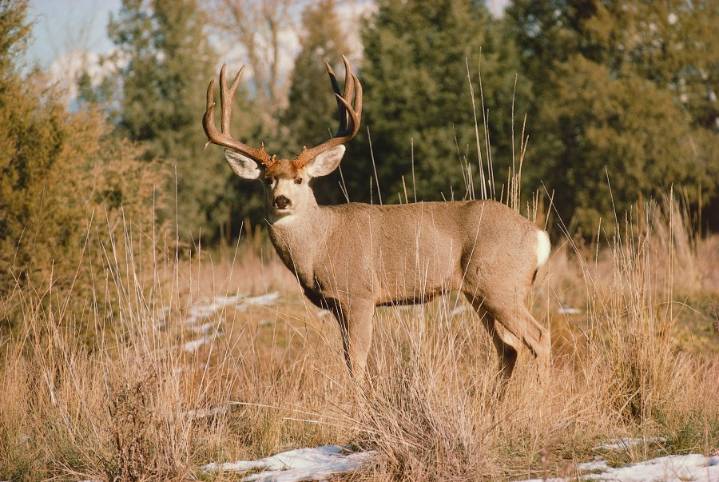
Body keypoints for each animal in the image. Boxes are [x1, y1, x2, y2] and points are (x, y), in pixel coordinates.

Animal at [202, 57, 551, 389]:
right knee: (509, 349)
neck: (319, 245)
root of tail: (538, 236)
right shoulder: (338, 306)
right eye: (267, 180)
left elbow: (356, 362)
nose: (281, 201)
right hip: (479, 294)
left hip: (500, 285)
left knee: (539, 338)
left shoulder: (359, 294)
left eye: (300, 179)